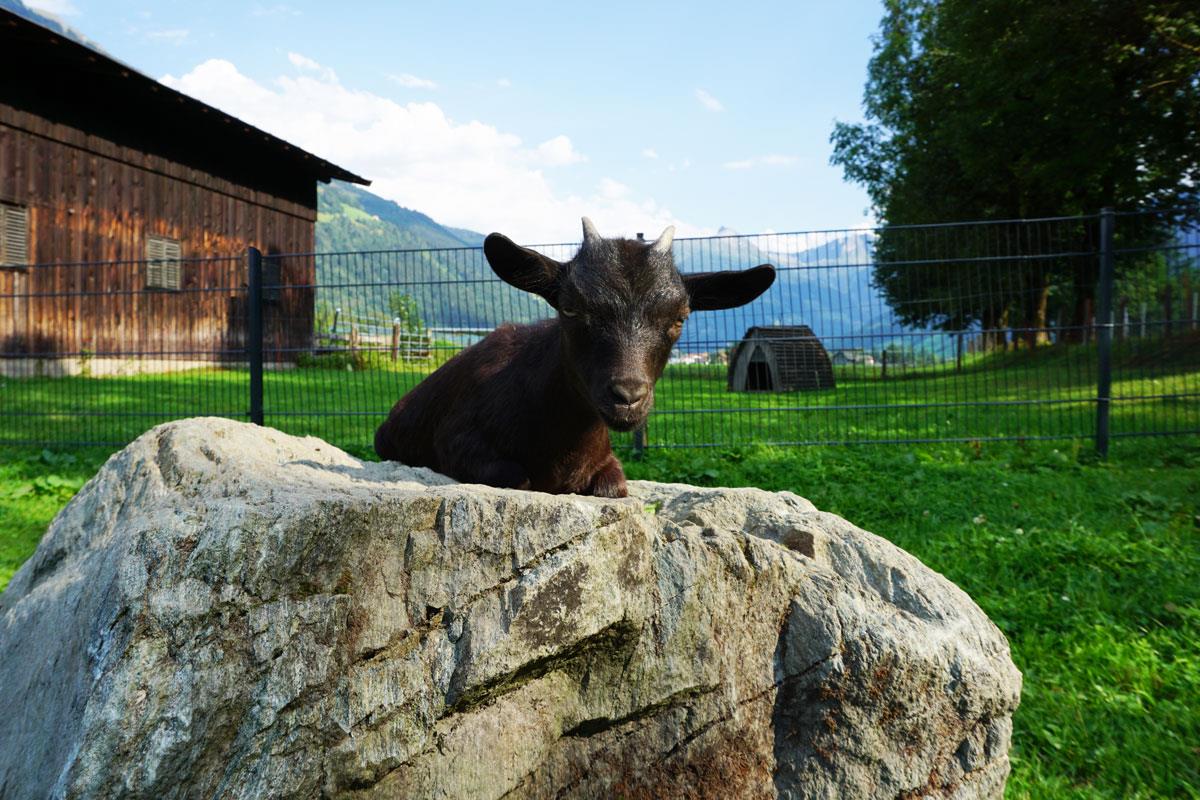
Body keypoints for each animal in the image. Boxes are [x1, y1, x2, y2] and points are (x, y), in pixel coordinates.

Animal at [374, 218, 775, 497]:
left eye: (679, 318)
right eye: (570, 308)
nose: (627, 396)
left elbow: (615, 486)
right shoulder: (457, 439)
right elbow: (515, 476)